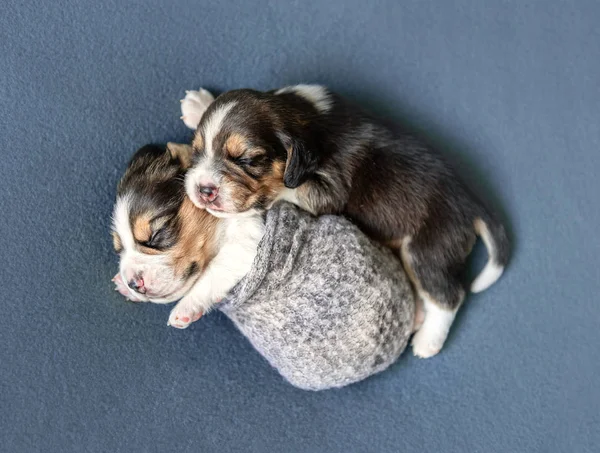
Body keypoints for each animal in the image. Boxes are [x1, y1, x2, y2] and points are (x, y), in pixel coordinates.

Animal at [111, 143, 262, 326]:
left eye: (155, 235)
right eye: (118, 250)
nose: (133, 284)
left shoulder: (247, 237)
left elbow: (215, 269)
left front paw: (186, 306)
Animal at [180, 85, 508, 356]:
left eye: (247, 160)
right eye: (197, 151)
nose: (203, 189)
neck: (304, 116)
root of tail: (472, 204)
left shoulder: (329, 190)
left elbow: (284, 190)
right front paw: (199, 104)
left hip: (426, 251)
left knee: (449, 297)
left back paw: (428, 341)